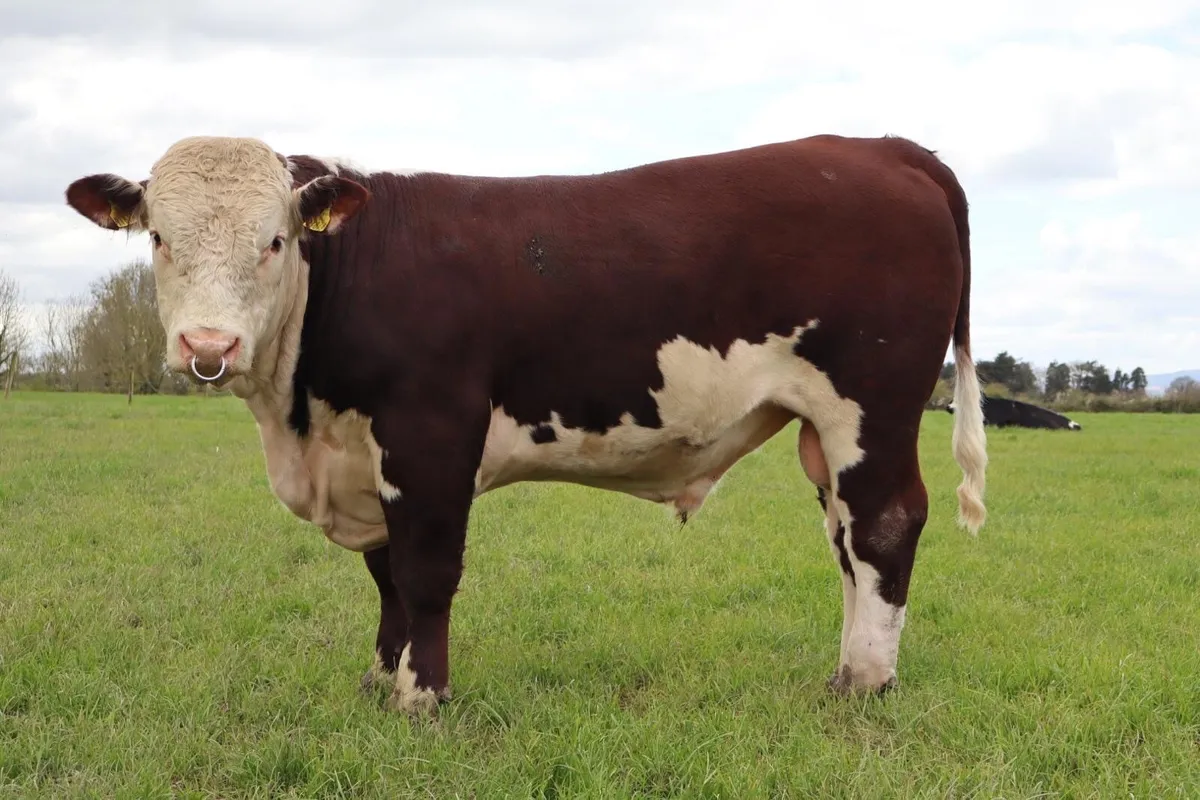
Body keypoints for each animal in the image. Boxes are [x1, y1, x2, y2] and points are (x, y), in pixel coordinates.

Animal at [64, 133, 988, 716]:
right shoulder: (365, 456)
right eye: (159, 236)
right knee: (846, 538)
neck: (302, 421)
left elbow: (426, 574)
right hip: (824, 431)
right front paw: (379, 679)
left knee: (886, 524)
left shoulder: (429, 435)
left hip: (871, 405)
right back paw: (848, 671)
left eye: (275, 240)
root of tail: (883, 147)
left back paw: (865, 683)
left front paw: (422, 697)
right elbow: (385, 576)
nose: (207, 347)